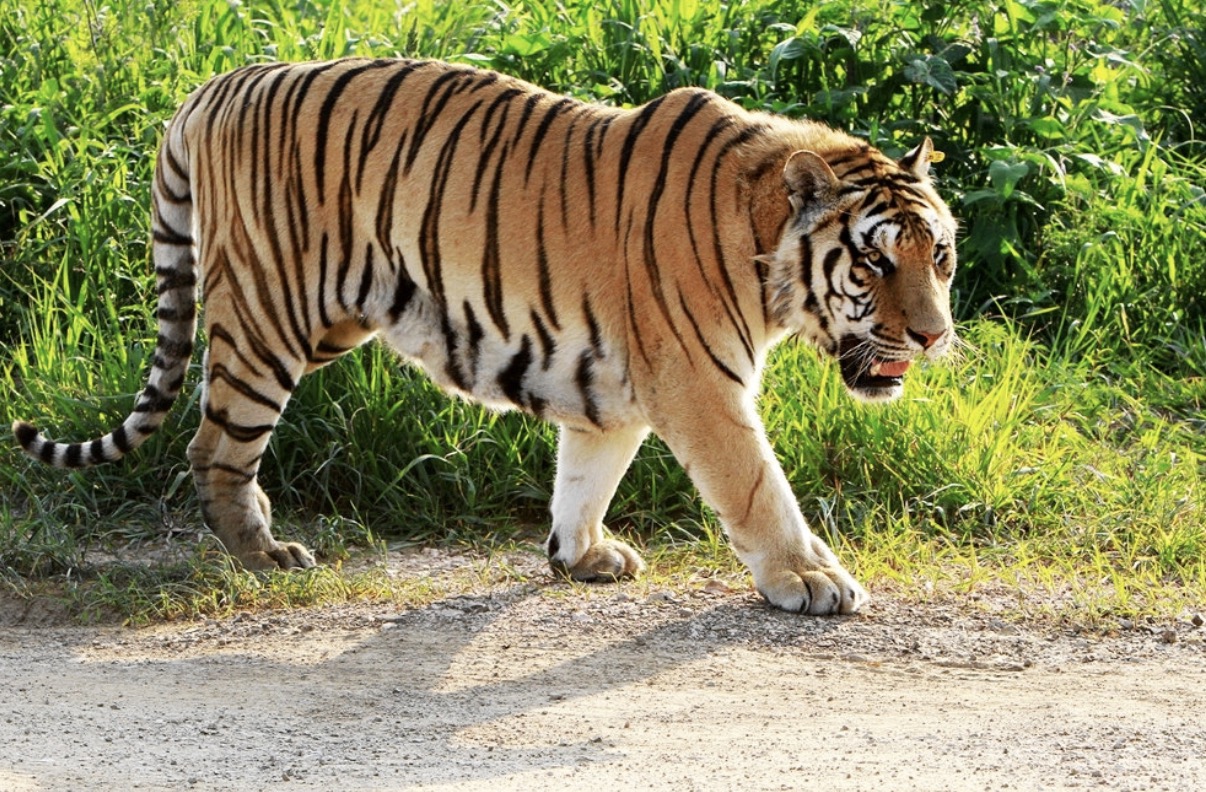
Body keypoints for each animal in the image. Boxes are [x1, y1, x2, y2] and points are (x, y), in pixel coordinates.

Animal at [9, 58, 955, 614]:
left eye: (938, 255)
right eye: (873, 263)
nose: (934, 337)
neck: (762, 238)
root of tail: (212, 87)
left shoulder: (619, 378)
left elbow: (587, 475)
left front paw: (580, 556)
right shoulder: (698, 381)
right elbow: (758, 486)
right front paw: (811, 580)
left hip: (326, 319)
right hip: (268, 318)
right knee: (214, 446)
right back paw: (266, 554)